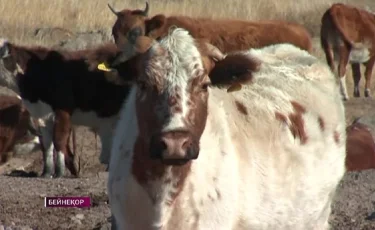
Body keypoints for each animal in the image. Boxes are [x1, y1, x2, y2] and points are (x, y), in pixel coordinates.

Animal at [0, 39, 134, 178]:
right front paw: (46, 172)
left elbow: (59, 140)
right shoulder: (42, 115)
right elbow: (47, 145)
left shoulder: (62, 112)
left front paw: (59, 172)